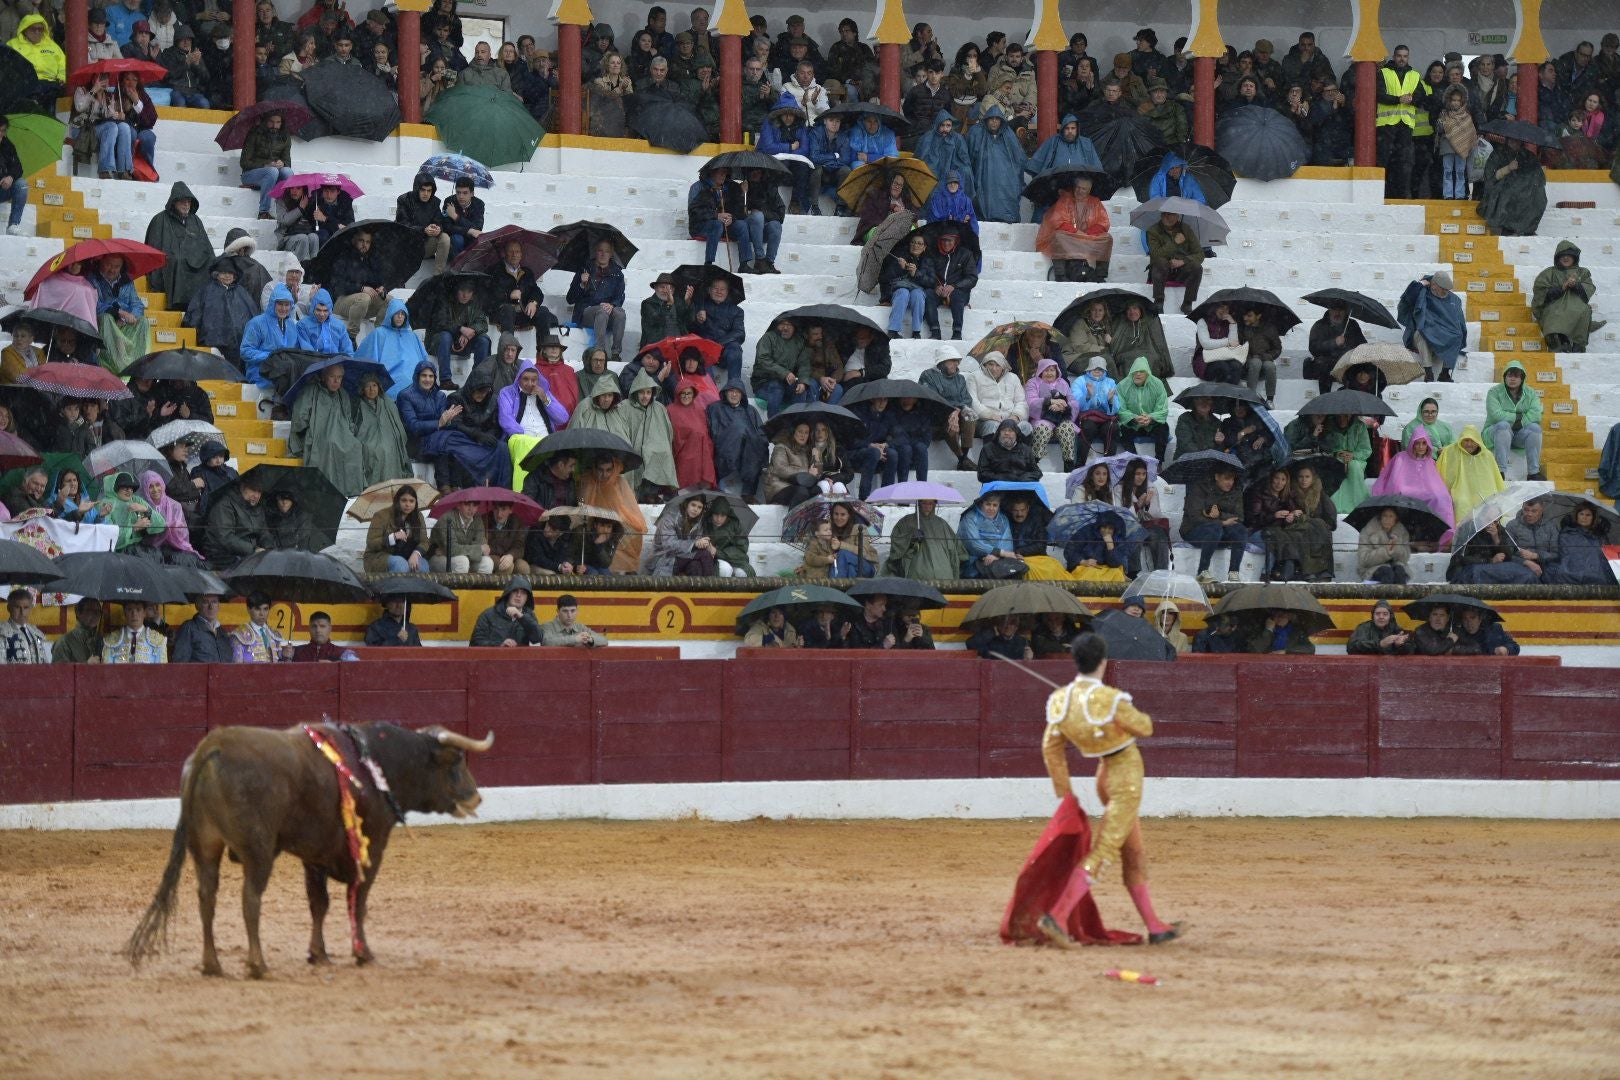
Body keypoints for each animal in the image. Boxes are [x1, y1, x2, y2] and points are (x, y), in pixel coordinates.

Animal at [123, 718, 489, 977]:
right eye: (456, 761)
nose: (476, 797)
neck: (375, 764)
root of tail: (213, 746)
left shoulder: (315, 856)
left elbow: (318, 904)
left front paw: (319, 954)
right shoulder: (372, 847)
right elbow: (358, 901)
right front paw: (363, 953)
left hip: (205, 848)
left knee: (206, 898)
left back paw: (212, 964)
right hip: (258, 850)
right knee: (250, 899)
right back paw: (258, 964)